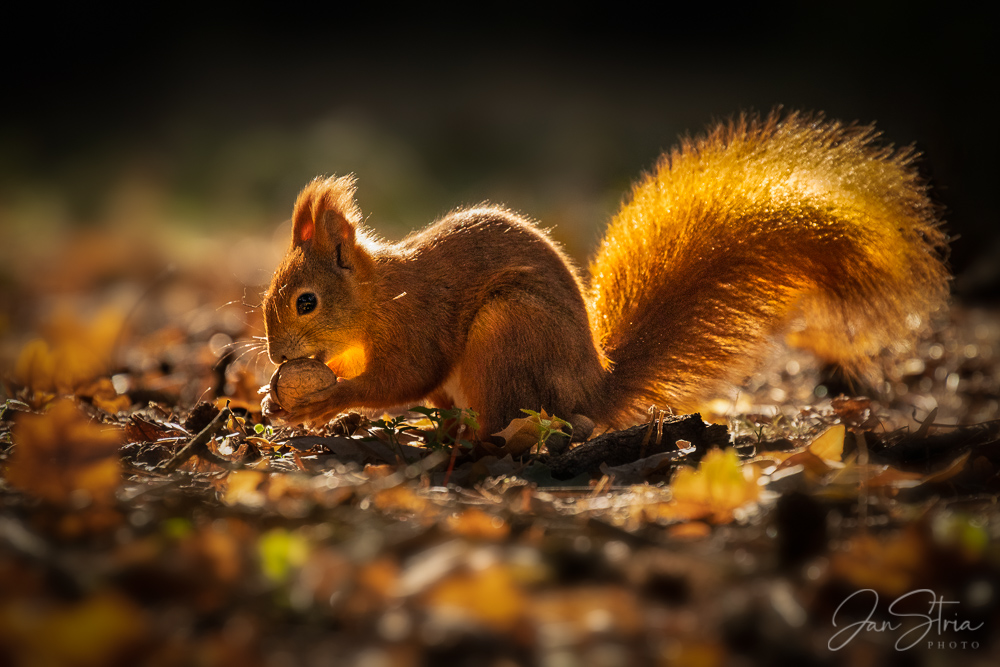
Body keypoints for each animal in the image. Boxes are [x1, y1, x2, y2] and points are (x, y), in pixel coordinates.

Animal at [262, 111, 948, 438]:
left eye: (305, 302)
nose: (273, 354)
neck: (376, 297)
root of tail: (592, 388)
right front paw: (277, 394)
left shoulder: (417, 321)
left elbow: (403, 375)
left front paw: (319, 401)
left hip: (507, 332)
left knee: (514, 421)